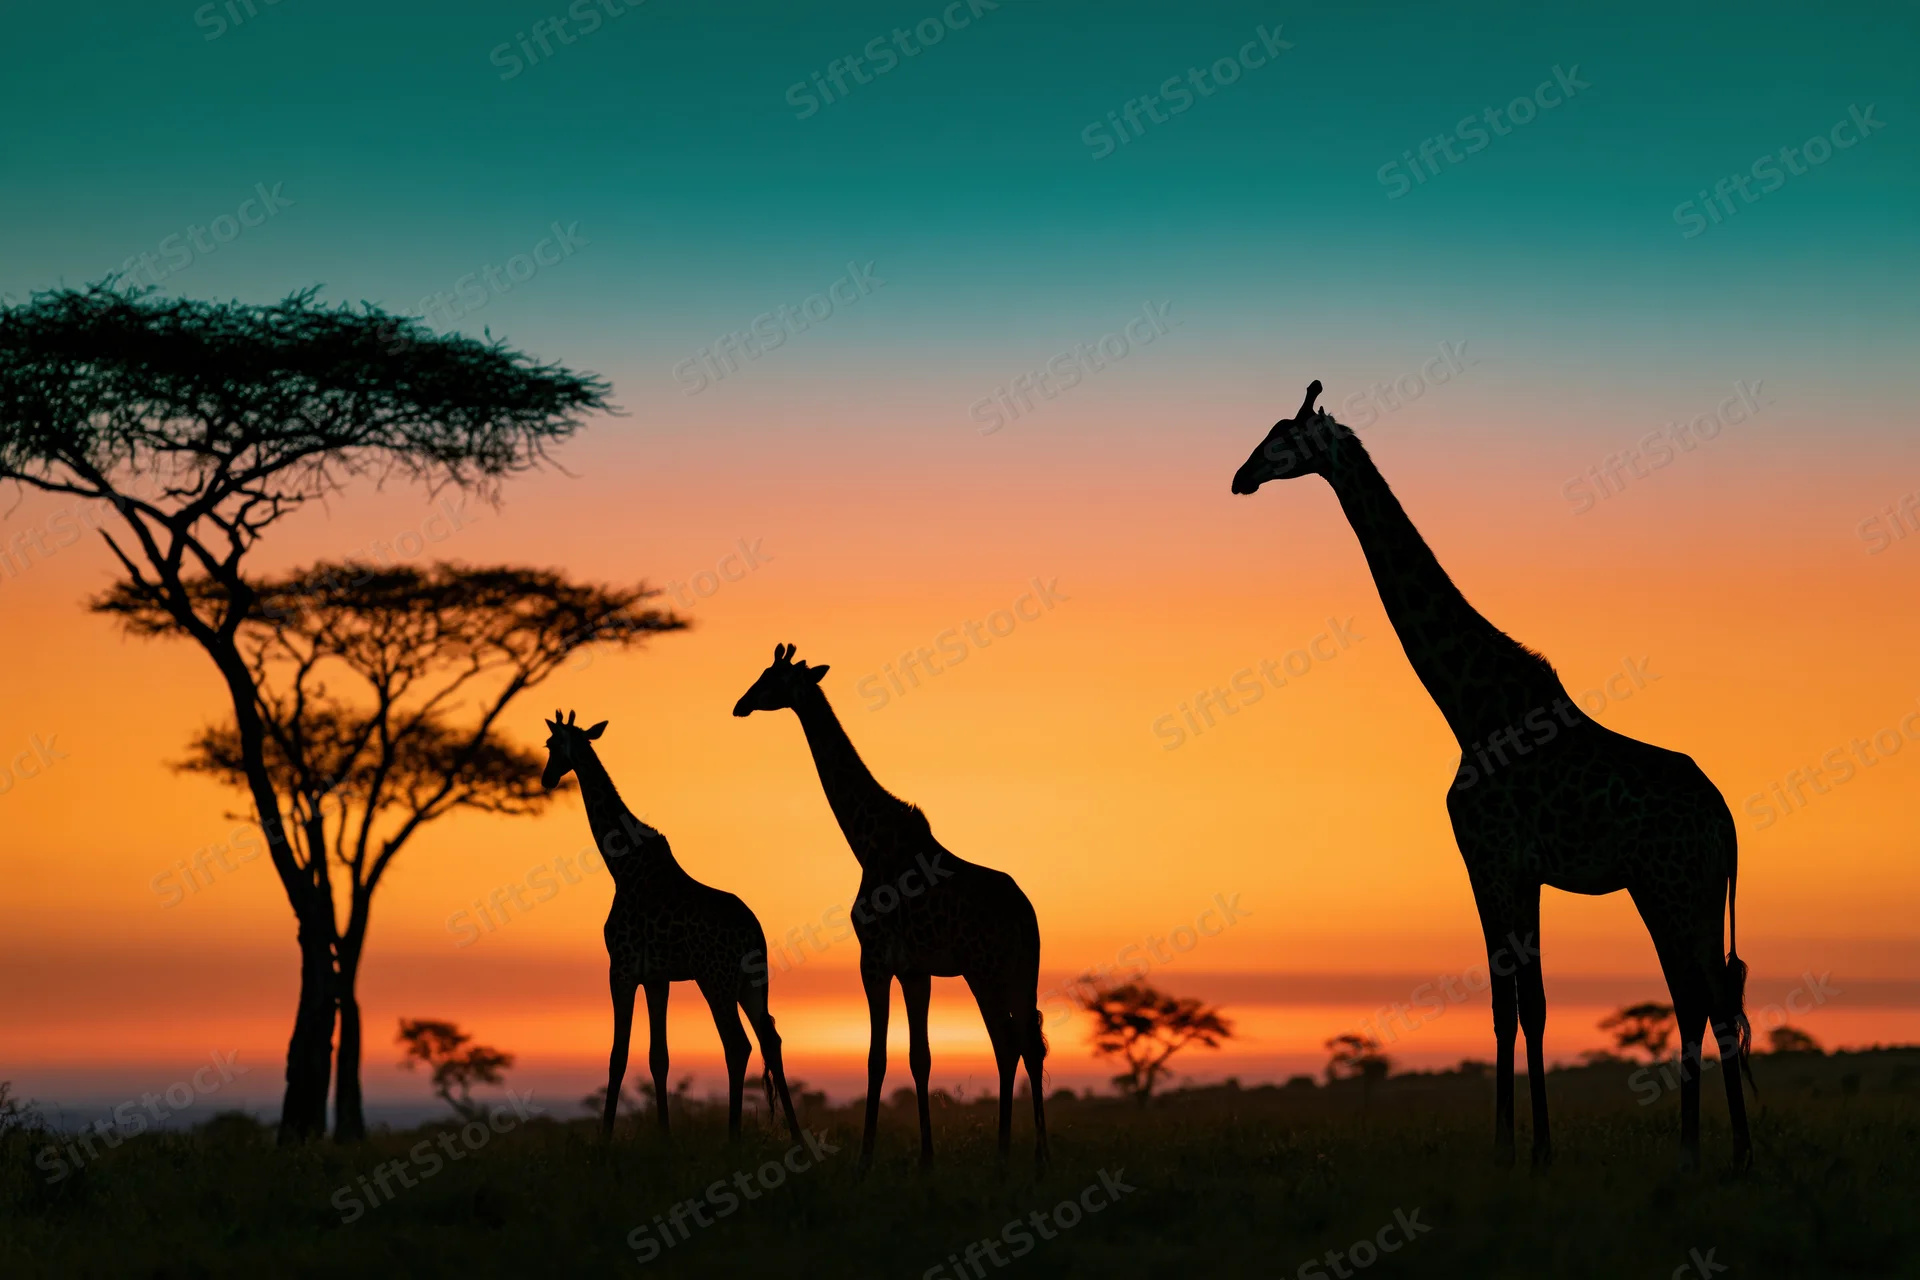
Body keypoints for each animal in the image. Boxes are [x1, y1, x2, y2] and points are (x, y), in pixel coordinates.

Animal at [539, 710, 801, 1144]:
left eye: (555, 744)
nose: (546, 778)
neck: (622, 866)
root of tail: (754, 934)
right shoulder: (656, 977)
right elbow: (658, 1056)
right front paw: (663, 1135)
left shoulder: (622, 968)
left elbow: (617, 1055)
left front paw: (605, 1139)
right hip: (752, 981)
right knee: (771, 1039)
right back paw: (796, 1136)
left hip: (715, 979)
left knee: (738, 1044)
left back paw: (733, 1138)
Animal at [732, 644, 1050, 1174]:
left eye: (769, 679)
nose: (740, 705)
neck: (868, 844)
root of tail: (1029, 917)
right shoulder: (915, 969)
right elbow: (919, 1058)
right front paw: (925, 1159)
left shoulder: (875, 959)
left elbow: (876, 1057)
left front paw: (864, 1160)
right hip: (1019, 971)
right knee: (1027, 1046)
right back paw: (1032, 1154)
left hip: (985, 970)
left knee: (1009, 1044)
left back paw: (1007, 1155)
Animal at [1231, 381, 1753, 1170]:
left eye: (1284, 438)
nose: (1241, 477)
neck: (1467, 707)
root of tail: (1726, 818)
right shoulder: (1513, 868)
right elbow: (1518, 1005)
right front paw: (1525, 1146)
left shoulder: (1491, 857)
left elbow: (1517, 1004)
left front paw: (1520, 1150)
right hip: (1670, 888)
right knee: (1700, 997)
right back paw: (1697, 1150)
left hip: (1677, 884)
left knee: (1714, 998)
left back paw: (1735, 1155)